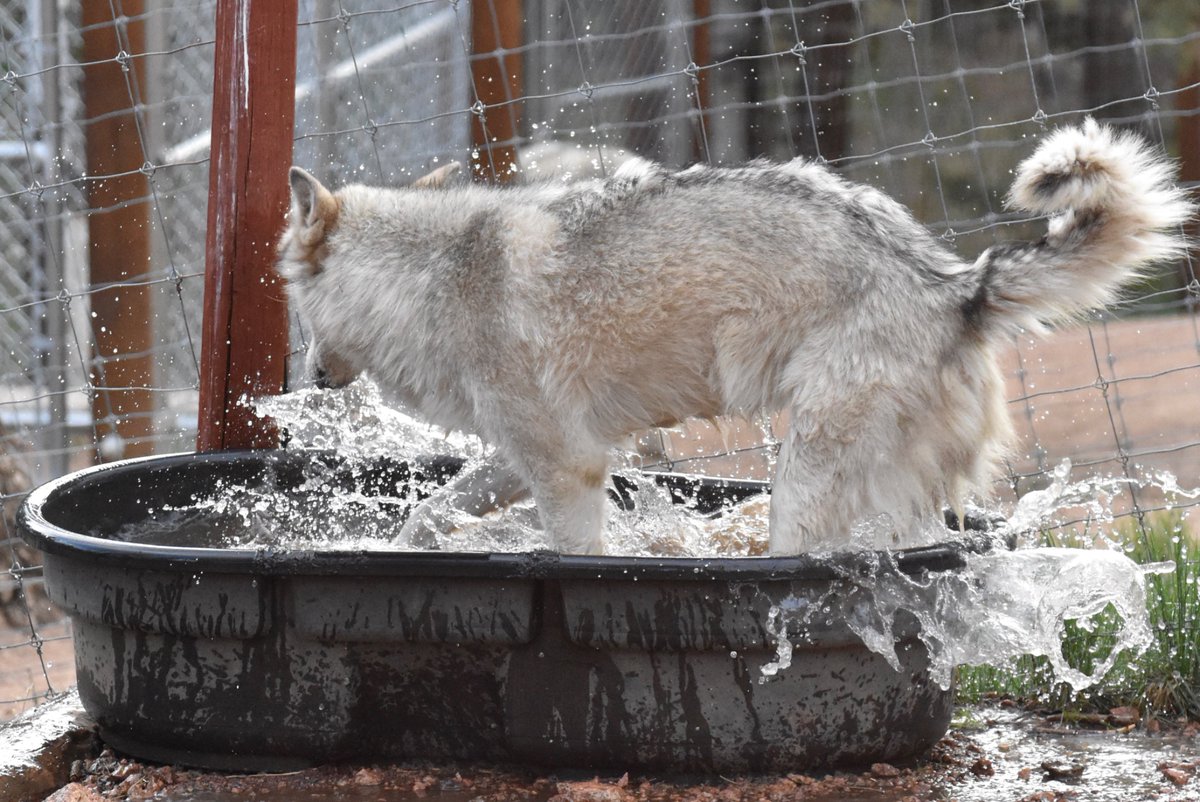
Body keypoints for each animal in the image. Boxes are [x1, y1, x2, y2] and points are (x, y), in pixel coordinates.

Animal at [278, 119, 1192, 555]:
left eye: (292, 302)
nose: (305, 380)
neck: (432, 276)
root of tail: (952, 284)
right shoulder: (526, 456)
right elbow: (428, 514)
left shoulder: (567, 468)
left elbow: (576, 553)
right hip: (898, 498)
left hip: (801, 479)